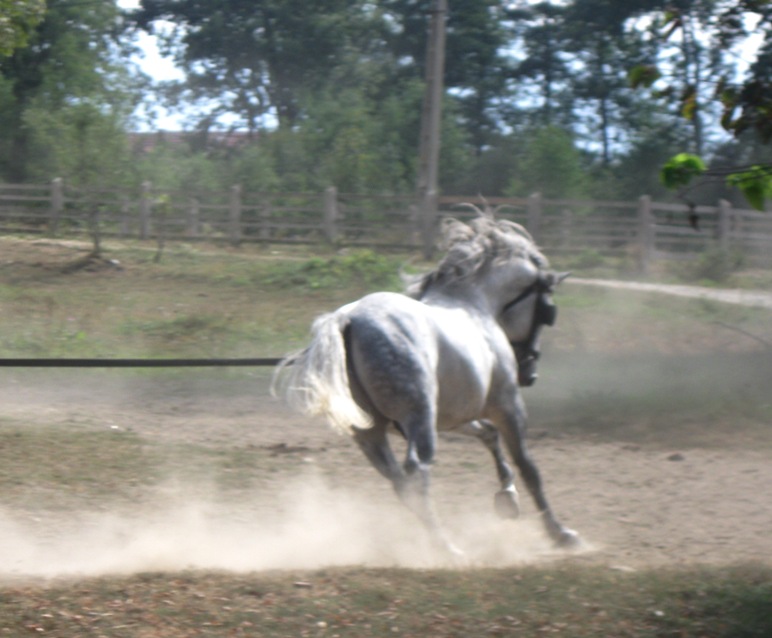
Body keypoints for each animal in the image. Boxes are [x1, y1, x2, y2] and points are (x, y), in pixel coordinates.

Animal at [272, 215, 580, 556]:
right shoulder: (507, 405)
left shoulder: (453, 417)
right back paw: (447, 548)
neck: (473, 303)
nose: (529, 374)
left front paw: (508, 499)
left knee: (400, 483)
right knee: (417, 472)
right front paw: (560, 534)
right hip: (418, 418)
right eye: (547, 312)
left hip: (372, 432)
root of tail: (348, 319)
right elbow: (528, 467)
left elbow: (488, 434)